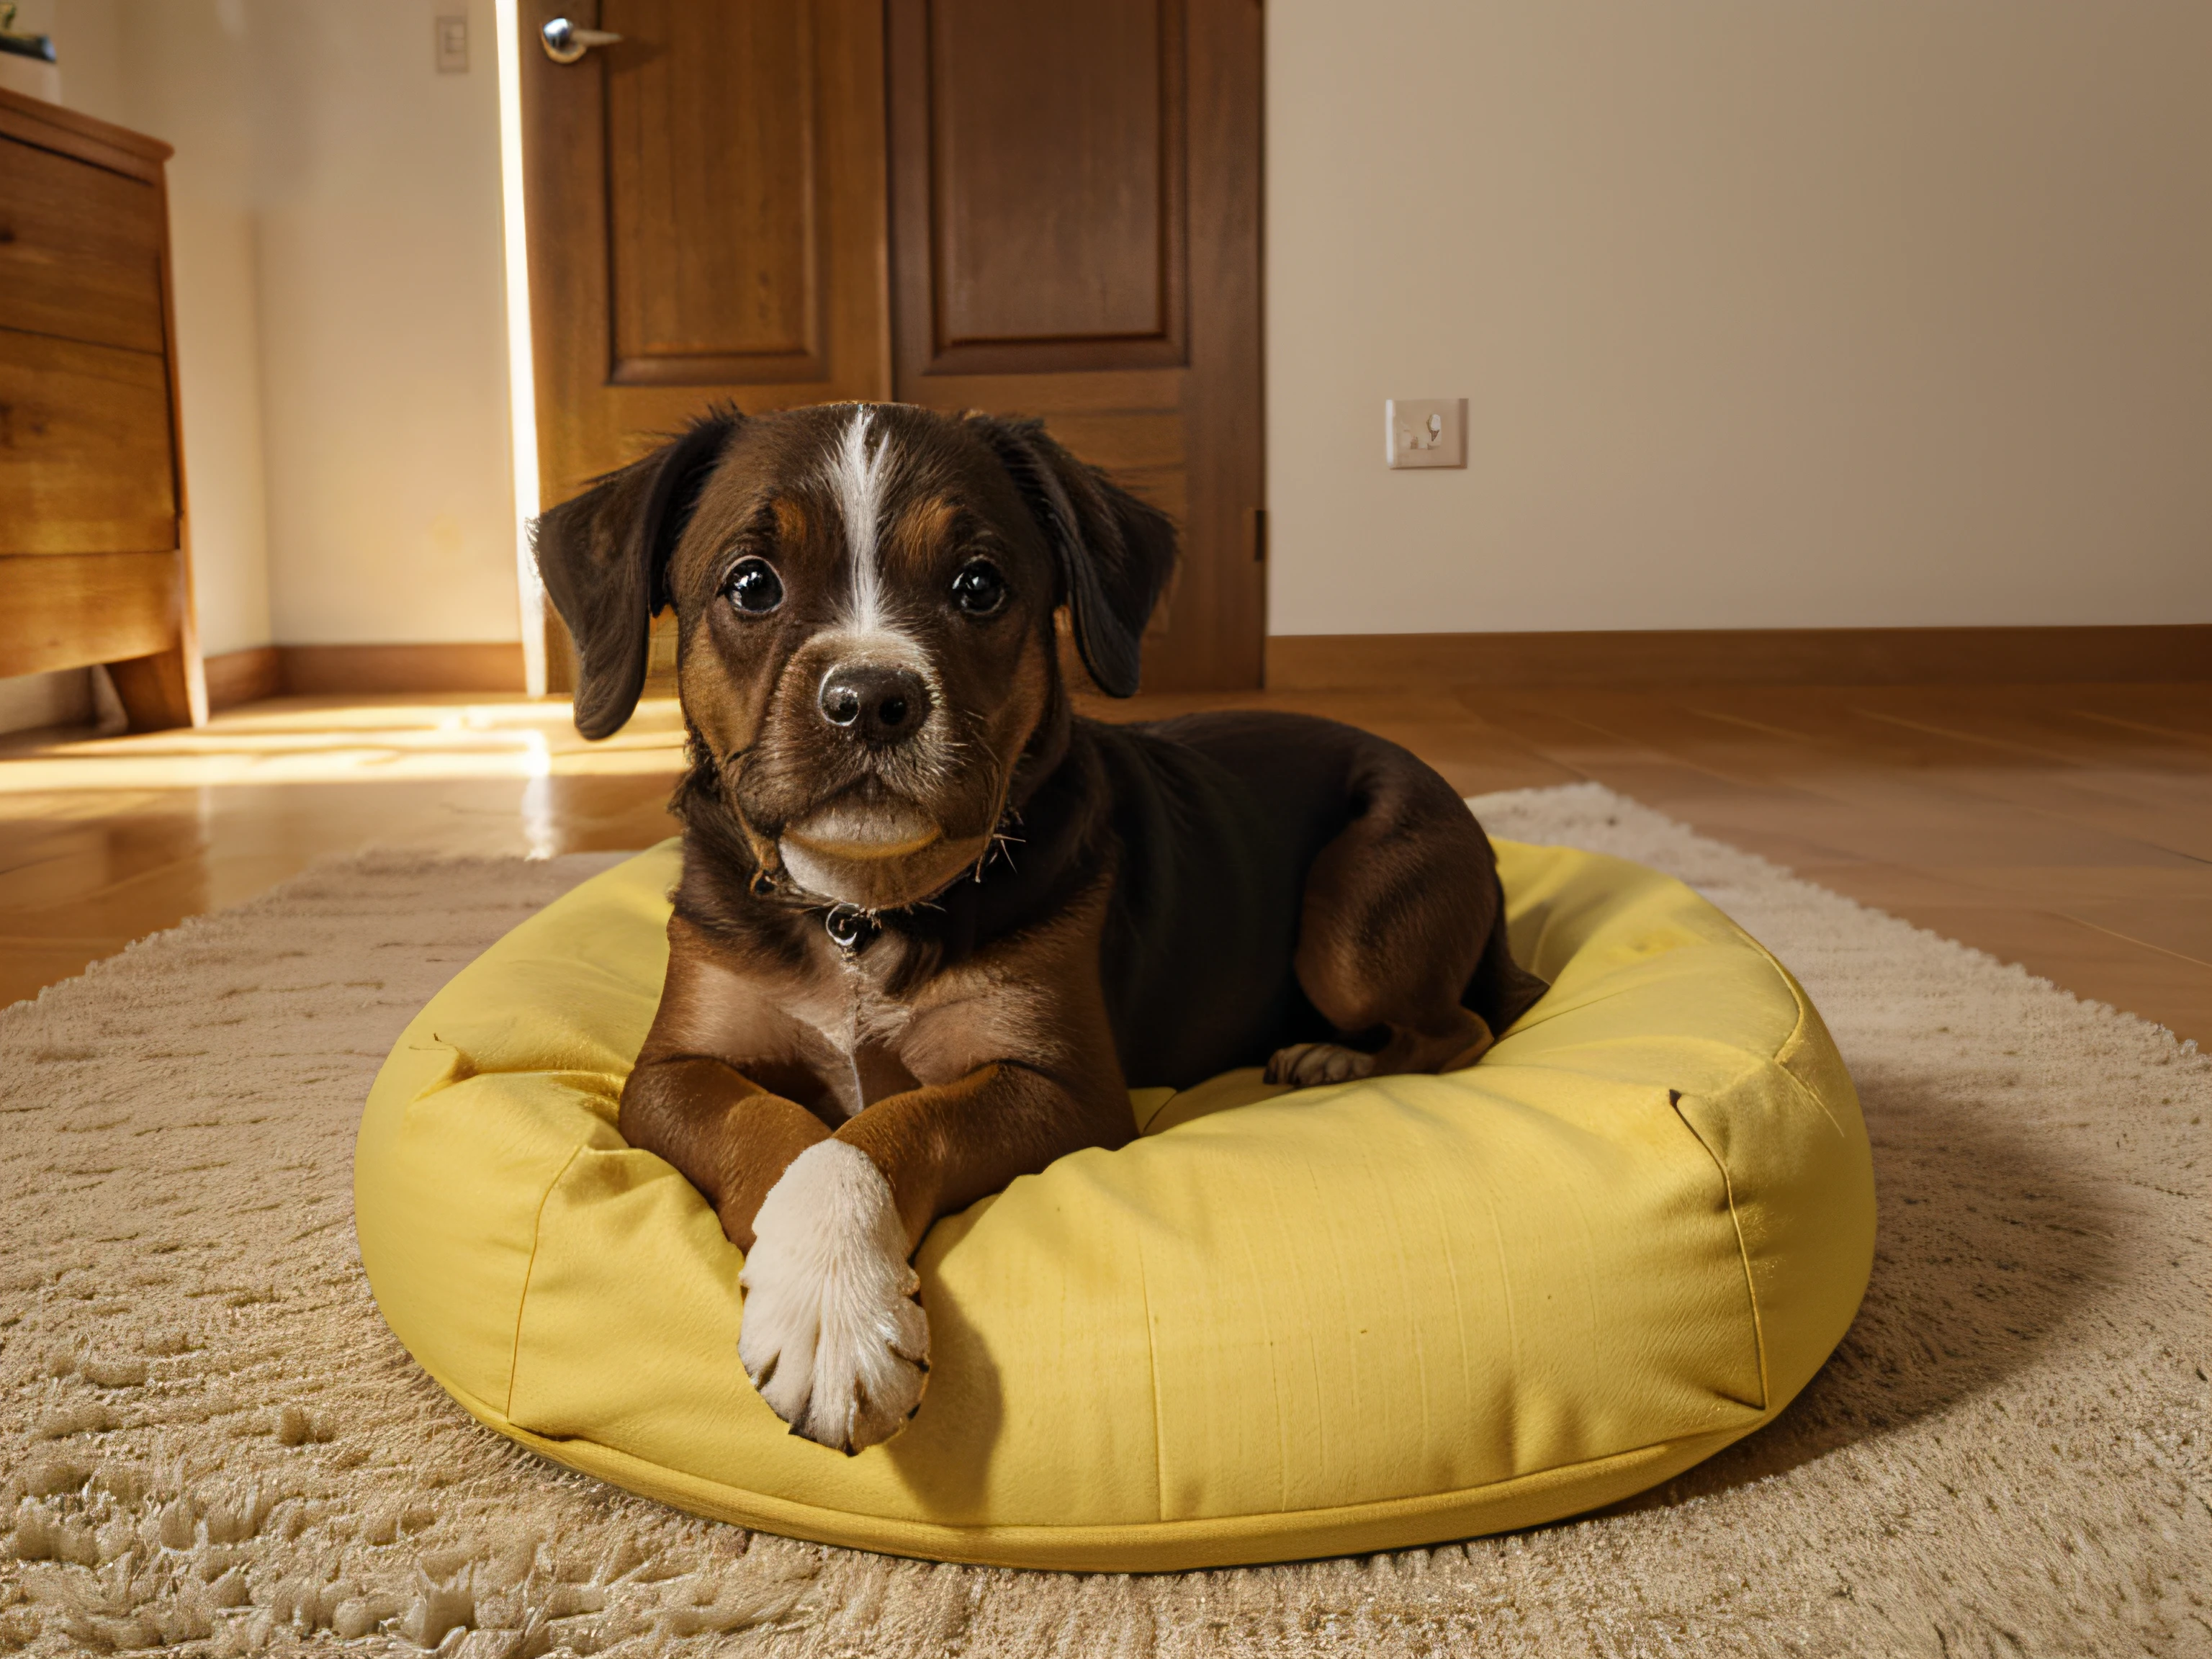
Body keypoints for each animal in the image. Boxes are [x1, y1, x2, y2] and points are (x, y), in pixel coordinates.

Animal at [537, 403, 1548, 1451]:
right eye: (751, 584)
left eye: (979, 586)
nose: (871, 702)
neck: (862, 909)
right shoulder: (670, 1070)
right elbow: (770, 1121)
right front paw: (821, 1296)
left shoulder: (1061, 1085)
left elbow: (891, 1124)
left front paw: (836, 1311)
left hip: (1352, 925)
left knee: (1460, 1027)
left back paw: (1335, 1057)